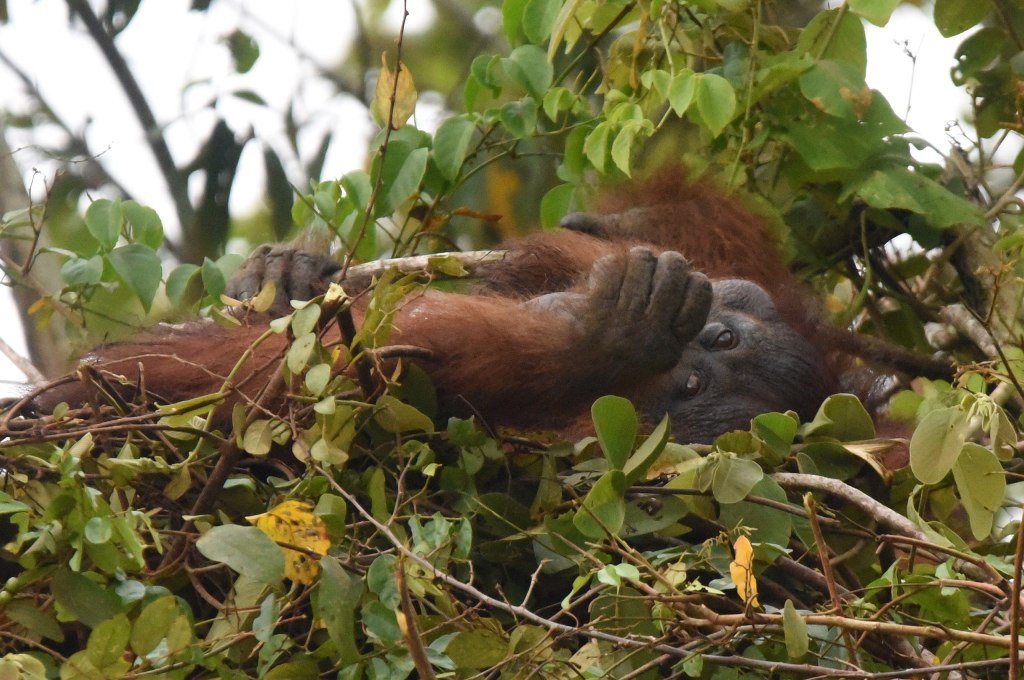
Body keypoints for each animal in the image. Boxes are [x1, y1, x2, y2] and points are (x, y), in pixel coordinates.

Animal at [33, 171, 840, 444]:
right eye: (717, 336)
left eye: (693, 384)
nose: (702, 328)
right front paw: (283, 275)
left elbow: (359, 388)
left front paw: (603, 339)